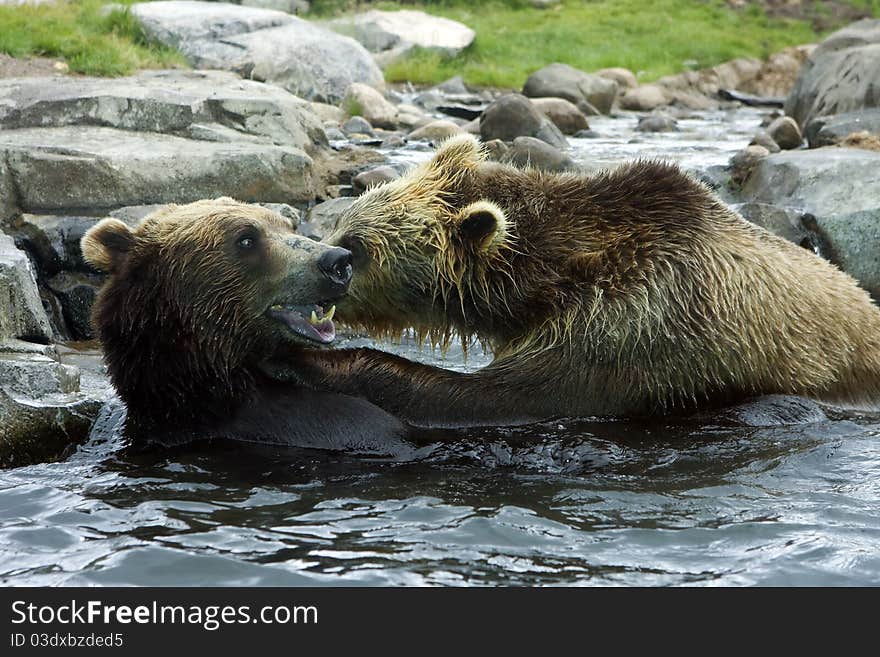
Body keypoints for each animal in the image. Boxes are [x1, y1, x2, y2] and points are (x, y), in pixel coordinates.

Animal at [278, 136, 880, 428]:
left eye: (357, 247)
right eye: (342, 223)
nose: (325, 259)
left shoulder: (636, 322)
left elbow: (493, 396)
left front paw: (320, 364)